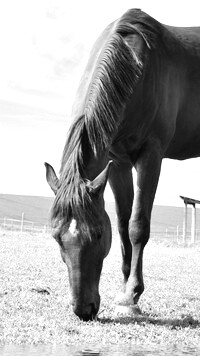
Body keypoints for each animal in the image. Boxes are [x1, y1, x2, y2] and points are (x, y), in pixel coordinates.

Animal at [45, 7, 200, 320]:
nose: (83, 309)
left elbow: (137, 225)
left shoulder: (150, 156)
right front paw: (126, 289)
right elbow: (122, 225)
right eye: (57, 237)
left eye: (97, 234)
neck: (137, 67)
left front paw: (131, 296)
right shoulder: (117, 162)